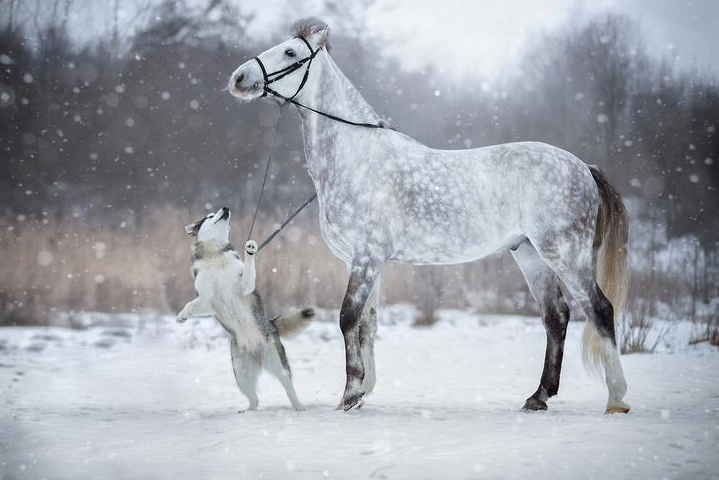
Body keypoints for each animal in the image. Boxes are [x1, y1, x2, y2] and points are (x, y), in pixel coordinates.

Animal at [176, 204, 314, 410]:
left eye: (215, 212)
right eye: (210, 215)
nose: (226, 208)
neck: (214, 256)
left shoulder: (244, 287)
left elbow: (248, 270)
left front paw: (250, 250)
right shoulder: (207, 301)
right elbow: (191, 304)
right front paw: (182, 315)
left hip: (278, 364)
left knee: (289, 388)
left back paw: (297, 405)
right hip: (241, 375)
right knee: (254, 399)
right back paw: (249, 410)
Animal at [229, 18, 632, 414]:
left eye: (290, 52)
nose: (239, 78)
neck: (357, 157)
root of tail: (583, 167)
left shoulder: (367, 257)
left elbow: (348, 318)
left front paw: (351, 392)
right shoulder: (361, 261)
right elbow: (367, 324)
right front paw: (362, 391)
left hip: (565, 253)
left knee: (599, 310)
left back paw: (616, 398)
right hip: (530, 254)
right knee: (556, 316)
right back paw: (539, 396)